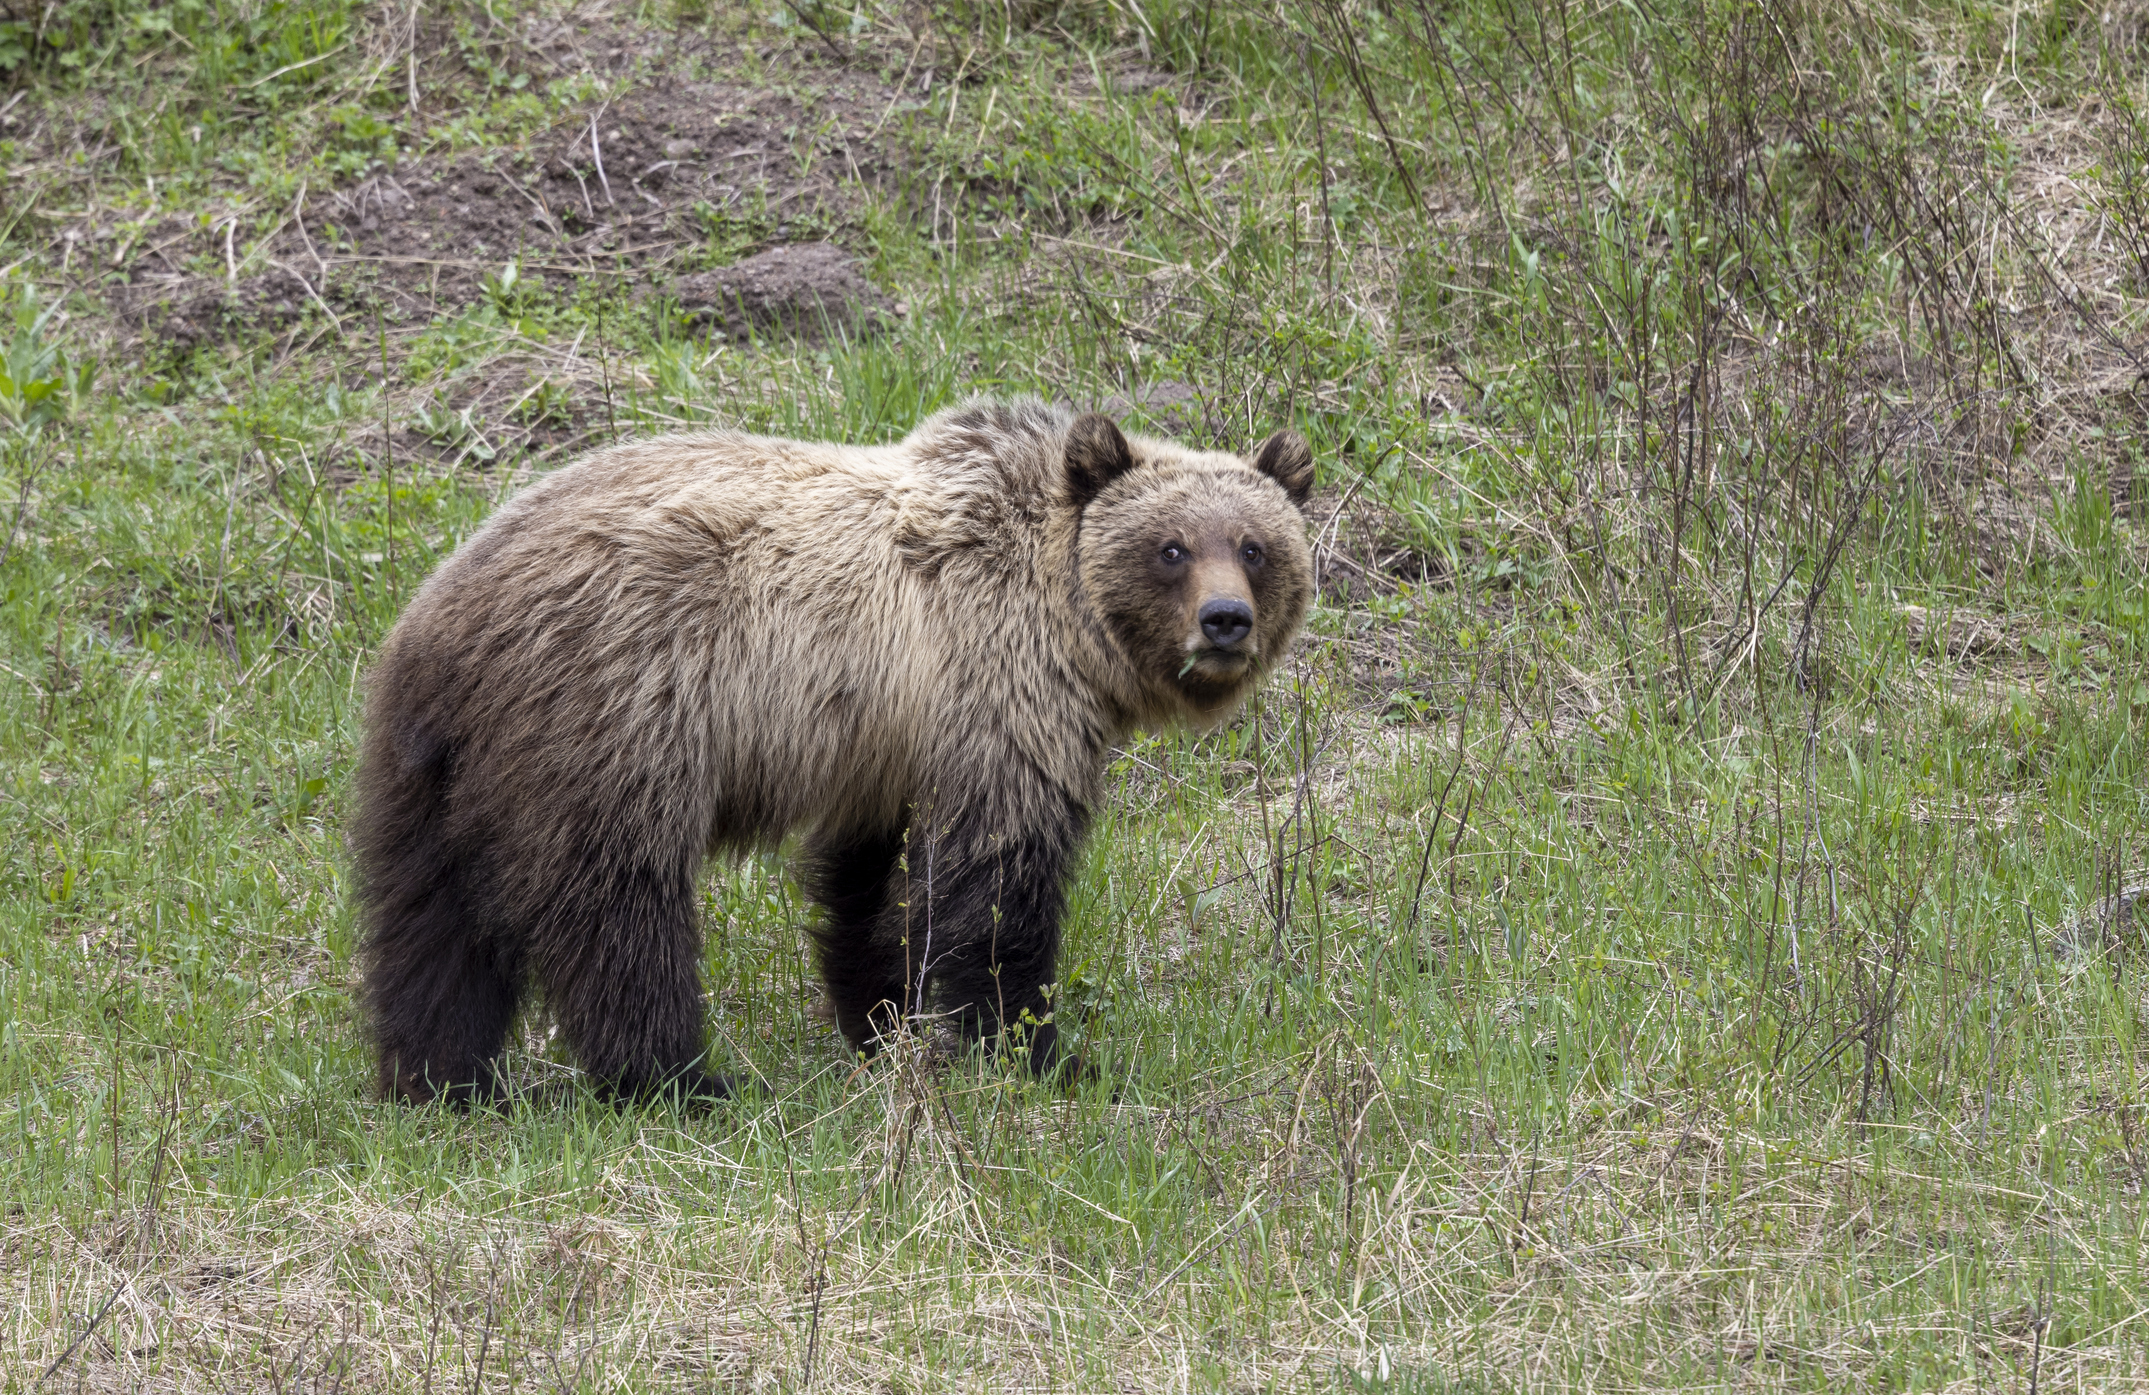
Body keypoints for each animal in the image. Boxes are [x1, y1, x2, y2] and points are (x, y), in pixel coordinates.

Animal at [351, 397, 1315, 1105]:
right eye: (1171, 547)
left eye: (1255, 546)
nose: (1224, 620)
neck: (1064, 618)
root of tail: (442, 622)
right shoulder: (996, 699)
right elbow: (996, 884)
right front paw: (1037, 1049)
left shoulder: (882, 743)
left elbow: (864, 882)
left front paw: (878, 1018)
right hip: (615, 717)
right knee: (616, 909)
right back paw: (679, 1079)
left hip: (430, 768)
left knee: (427, 919)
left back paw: (443, 1077)